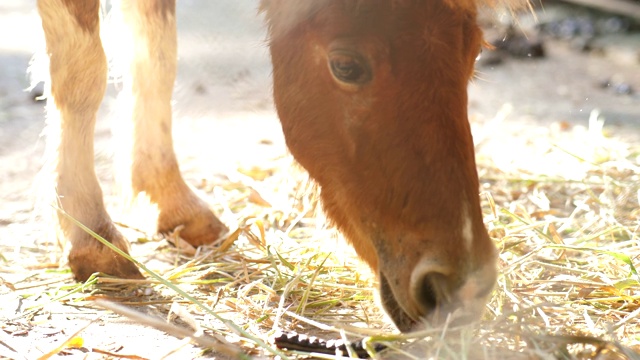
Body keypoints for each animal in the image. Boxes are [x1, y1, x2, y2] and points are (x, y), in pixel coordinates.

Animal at [36, 0, 524, 332]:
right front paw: (90, 235)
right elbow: (84, 69)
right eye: (346, 65)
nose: (461, 287)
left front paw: (169, 198)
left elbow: (155, 51)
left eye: (474, 52)